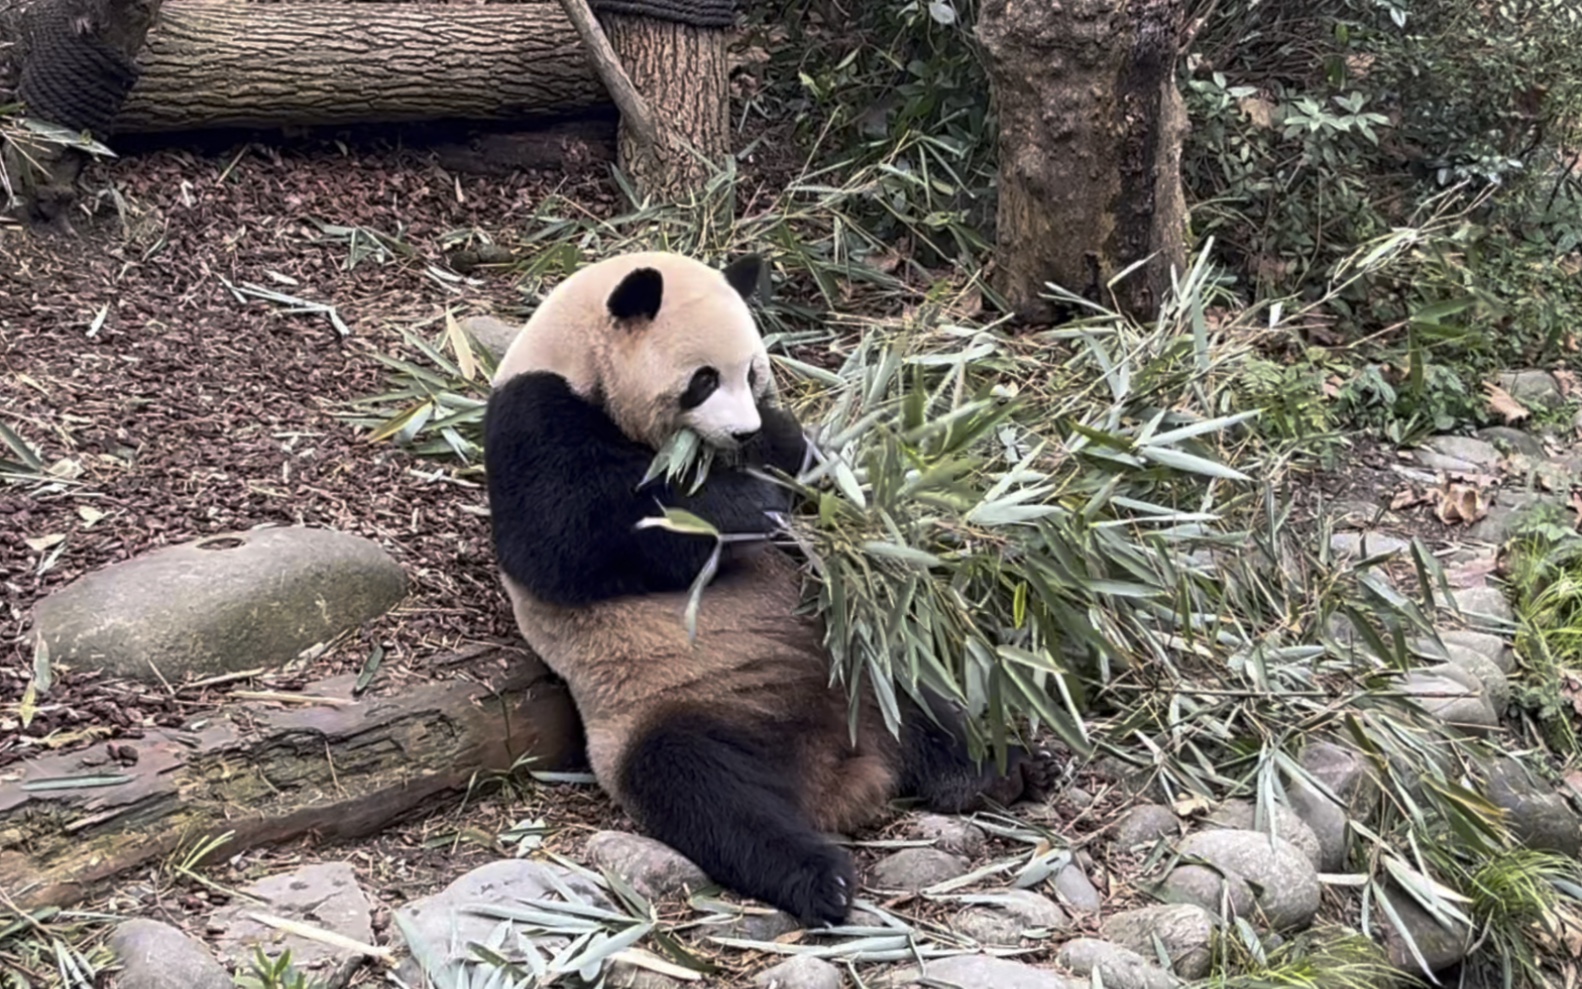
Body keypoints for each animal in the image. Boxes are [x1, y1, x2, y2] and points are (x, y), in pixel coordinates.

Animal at [477, 248, 1050, 924]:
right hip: (659, 712)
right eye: (703, 380)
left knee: (925, 710)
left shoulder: (776, 436)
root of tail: (838, 771)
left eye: (752, 374)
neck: (578, 360)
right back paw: (821, 877)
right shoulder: (535, 416)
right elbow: (566, 536)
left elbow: (811, 467)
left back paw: (1005, 770)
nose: (742, 434)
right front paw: (749, 506)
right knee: (710, 795)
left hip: (853, 667)